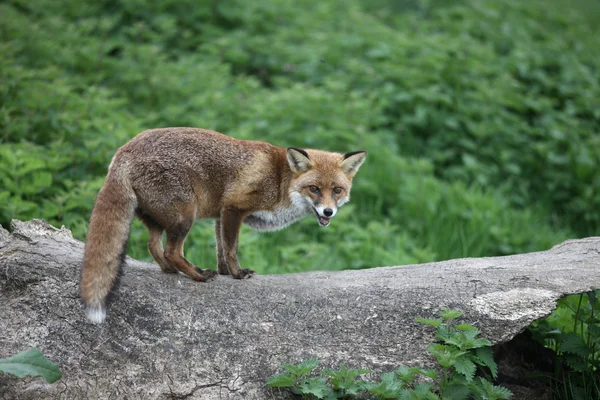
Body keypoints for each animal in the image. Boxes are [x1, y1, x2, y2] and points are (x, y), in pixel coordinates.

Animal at [79, 128, 366, 322]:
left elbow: (220, 249)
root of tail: (123, 151)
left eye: (337, 190)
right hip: (185, 216)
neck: (279, 181)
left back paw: (172, 271)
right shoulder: (233, 208)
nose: (328, 211)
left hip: (162, 218)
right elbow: (231, 248)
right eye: (314, 189)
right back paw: (198, 275)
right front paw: (238, 274)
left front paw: (226, 272)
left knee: (154, 246)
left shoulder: (219, 216)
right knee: (172, 251)